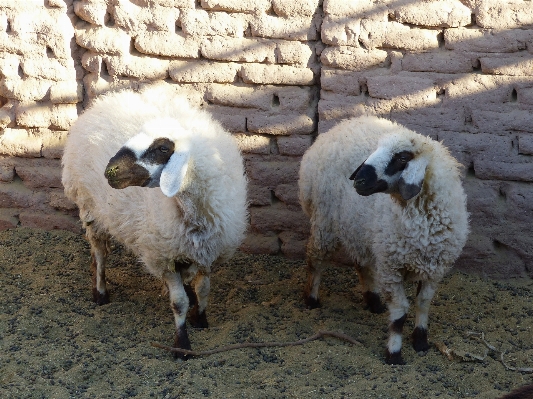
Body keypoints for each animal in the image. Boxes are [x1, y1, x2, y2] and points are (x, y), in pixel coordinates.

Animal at [61, 86, 248, 360]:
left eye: (162, 148)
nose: (110, 171)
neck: (191, 211)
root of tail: (105, 101)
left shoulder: (208, 252)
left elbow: (203, 289)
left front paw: (200, 318)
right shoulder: (164, 256)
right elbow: (178, 303)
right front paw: (182, 344)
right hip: (89, 208)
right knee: (99, 252)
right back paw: (101, 291)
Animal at [298, 115, 468, 366]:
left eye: (402, 157)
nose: (358, 181)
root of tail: (341, 126)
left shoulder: (434, 268)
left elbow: (423, 303)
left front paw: (420, 341)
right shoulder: (391, 267)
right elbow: (399, 313)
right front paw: (394, 353)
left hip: (360, 230)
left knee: (362, 264)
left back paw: (374, 301)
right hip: (324, 223)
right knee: (316, 261)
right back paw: (311, 299)